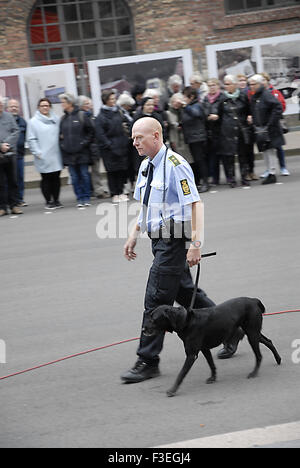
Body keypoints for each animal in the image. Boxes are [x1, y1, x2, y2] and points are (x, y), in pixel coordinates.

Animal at [143, 296, 282, 394]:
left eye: (153, 319)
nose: (143, 329)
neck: (186, 321)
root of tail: (253, 300)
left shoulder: (191, 355)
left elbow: (181, 374)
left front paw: (172, 390)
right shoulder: (204, 349)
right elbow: (211, 364)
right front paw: (213, 377)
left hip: (252, 334)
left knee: (259, 355)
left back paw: (254, 372)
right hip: (253, 333)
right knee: (268, 341)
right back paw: (278, 359)